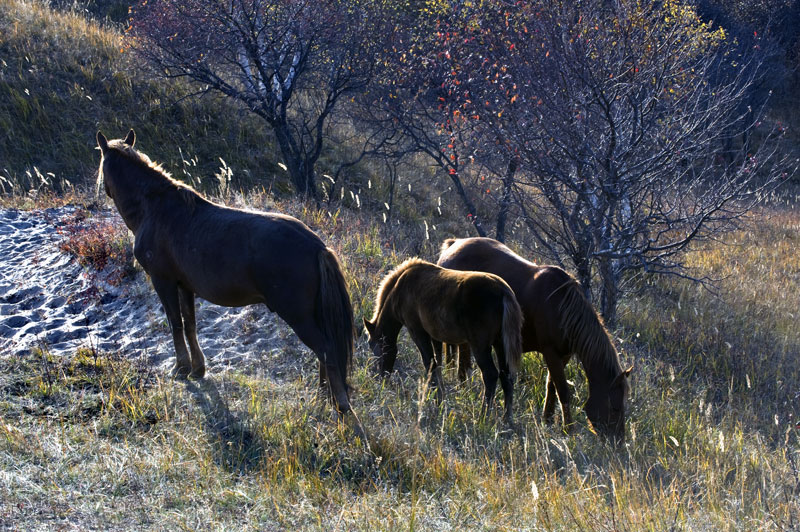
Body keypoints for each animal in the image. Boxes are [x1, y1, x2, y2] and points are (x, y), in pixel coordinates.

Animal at [95, 130, 354, 416]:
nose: (103, 191)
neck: (154, 210)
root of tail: (317, 247)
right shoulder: (184, 285)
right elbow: (189, 324)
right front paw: (197, 368)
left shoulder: (163, 281)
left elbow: (175, 323)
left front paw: (181, 368)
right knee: (325, 351)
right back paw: (324, 394)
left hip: (298, 316)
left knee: (326, 350)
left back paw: (341, 404)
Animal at [364, 258, 524, 424]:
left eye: (373, 345)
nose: (382, 376)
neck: (401, 287)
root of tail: (504, 292)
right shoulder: (435, 337)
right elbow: (438, 364)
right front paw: (439, 397)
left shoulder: (418, 331)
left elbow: (430, 364)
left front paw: (436, 399)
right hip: (500, 345)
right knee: (506, 377)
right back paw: (507, 419)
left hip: (480, 346)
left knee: (490, 375)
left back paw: (482, 417)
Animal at [438, 238, 632, 440]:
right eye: (615, 407)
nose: (618, 442)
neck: (562, 307)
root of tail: (453, 245)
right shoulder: (550, 352)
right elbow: (563, 391)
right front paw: (568, 428)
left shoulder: (564, 355)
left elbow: (551, 386)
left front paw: (547, 420)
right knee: (463, 360)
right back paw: (463, 388)